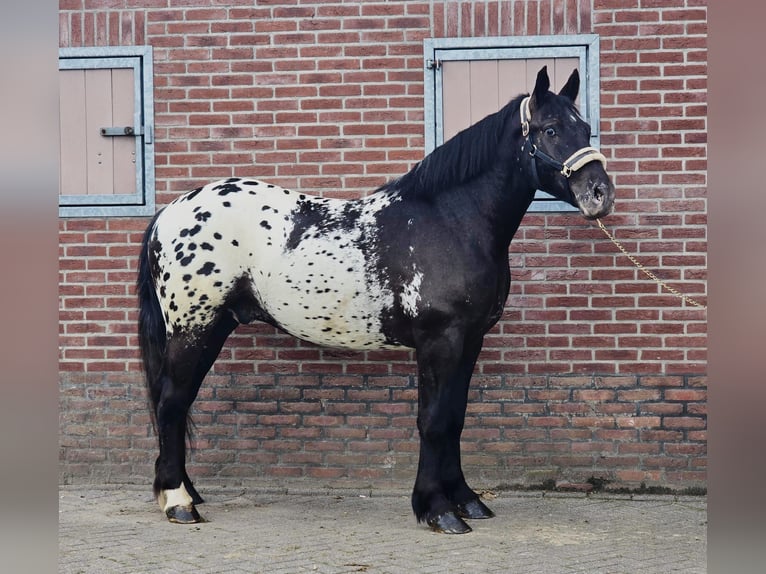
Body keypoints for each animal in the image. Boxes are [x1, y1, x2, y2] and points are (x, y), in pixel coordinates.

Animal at [137, 66, 614, 534]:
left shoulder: (470, 341)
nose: (600, 194)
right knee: (172, 402)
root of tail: (170, 213)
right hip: (195, 329)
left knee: (177, 404)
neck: (451, 222)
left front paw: (466, 500)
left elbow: (455, 418)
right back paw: (178, 502)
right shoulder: (440, 340)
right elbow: (434, 420)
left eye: (586, 128)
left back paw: (187, 492)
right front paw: (437, 509)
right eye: (550, 129)